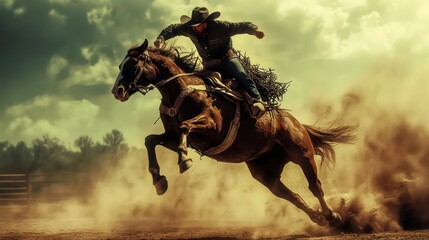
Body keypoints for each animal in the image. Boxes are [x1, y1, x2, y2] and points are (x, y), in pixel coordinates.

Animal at [110, 39, 354, 227]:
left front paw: (184, 160)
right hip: (264, 172)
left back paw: (332, 216)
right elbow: (150, 140)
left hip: (301, 152)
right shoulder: (173, 137)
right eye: (121, 64)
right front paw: (159, 181)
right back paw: (318, 218)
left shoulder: (212, 125)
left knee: (315, 185)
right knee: (290, 195)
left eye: (133, 62)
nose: (117, 91)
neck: (180, 90)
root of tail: (296, 122)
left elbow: (185, 127)